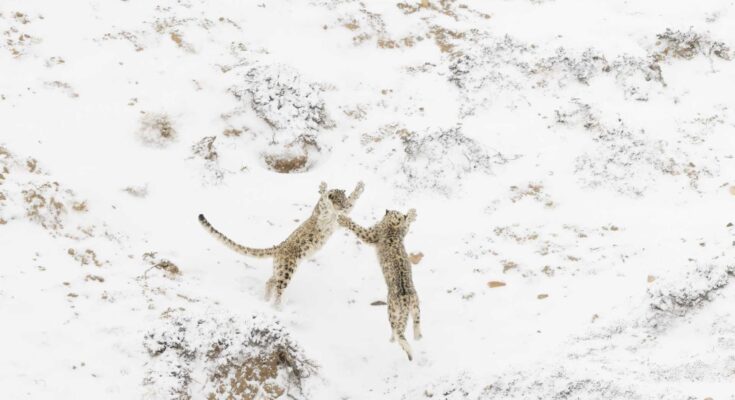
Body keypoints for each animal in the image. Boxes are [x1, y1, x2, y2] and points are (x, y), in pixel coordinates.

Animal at [200, 181, 364, 306]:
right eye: (339, 200)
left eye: (344, 199)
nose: (343, 205)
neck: (334, 215)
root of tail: (279, 247)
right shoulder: (323, 214)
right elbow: (324, 201)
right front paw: (324, 189)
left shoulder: (342, 216)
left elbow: (352, 202)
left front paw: (359, 187)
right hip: (287, 270)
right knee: (278, 288)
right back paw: (277, 307)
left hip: (280, 269)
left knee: (270, 281)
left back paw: (266, 300)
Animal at [338, 208, 422, 360]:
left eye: (394, 212)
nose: (387, 210)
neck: (391, 228)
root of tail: (406, 299)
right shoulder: (402, 231)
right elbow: (406, 226)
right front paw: (411, 213)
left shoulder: (370, 234)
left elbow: (358, 228)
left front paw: (343, 219)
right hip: (416, 306)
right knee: (415, 322)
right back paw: (418, 336)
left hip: (391, 309)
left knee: (396, 328)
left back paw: (396, 341)